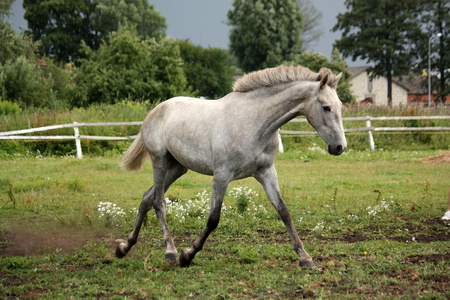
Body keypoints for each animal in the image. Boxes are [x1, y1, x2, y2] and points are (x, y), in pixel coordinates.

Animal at [115, 64, 344, 268]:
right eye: (326, 107)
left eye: (340, 106)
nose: (340, 147)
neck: (254, 123)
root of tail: (155, 110)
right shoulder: (222, 175)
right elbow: (213, 219)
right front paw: (187, 255)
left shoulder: (267, 173)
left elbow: (284, 212)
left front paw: (305, 258)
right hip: (160, 162)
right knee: (158, 201)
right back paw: (170, 252)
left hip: (177, 167)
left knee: (147, 198)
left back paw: (124, 247)